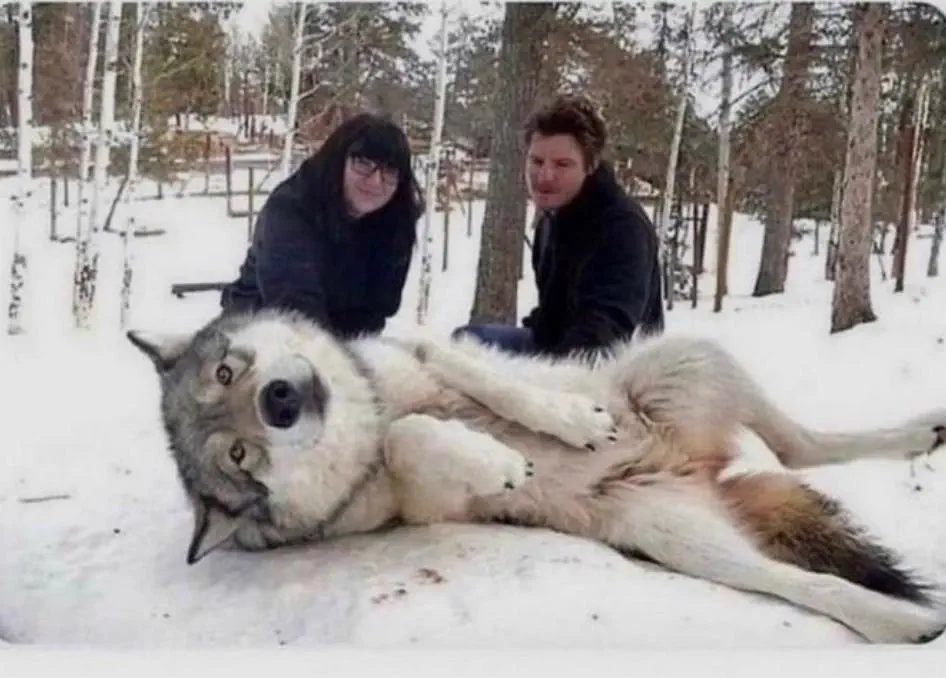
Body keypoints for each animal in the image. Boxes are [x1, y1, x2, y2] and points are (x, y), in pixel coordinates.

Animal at [127, 308, 946, 644]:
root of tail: (699, 468)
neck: (364, 411)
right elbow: (411, 439)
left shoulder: (428, 351)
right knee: (802, 575)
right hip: (677, 540)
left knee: (801, 445)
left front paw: (572, 422)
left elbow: (473, 378)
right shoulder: (423, 498)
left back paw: (920, 433)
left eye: (229, 372)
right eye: (239, 457)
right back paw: (904, 622)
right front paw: (499, 462)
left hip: (690, 358)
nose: (281, 401)